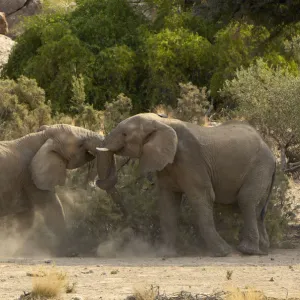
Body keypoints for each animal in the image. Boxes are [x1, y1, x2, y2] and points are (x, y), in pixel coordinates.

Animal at [0, 123, 116, 255]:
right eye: (80, 144)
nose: (96, 182)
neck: (42, 137)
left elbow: (25, 219)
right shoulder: (30, 177)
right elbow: (52, 209)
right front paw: (70, 252)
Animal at [96, 112, 276, 255]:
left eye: (125, 134)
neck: (162, 123)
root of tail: (271, 153)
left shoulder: (191, 159)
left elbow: (202, 197)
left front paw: (223, 253)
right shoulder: (167, 164)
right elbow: (168, 203)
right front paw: (166, 254)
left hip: (259, 166)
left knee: (246, 200)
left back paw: (247, 251)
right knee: (258, 209)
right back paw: (262, 250)